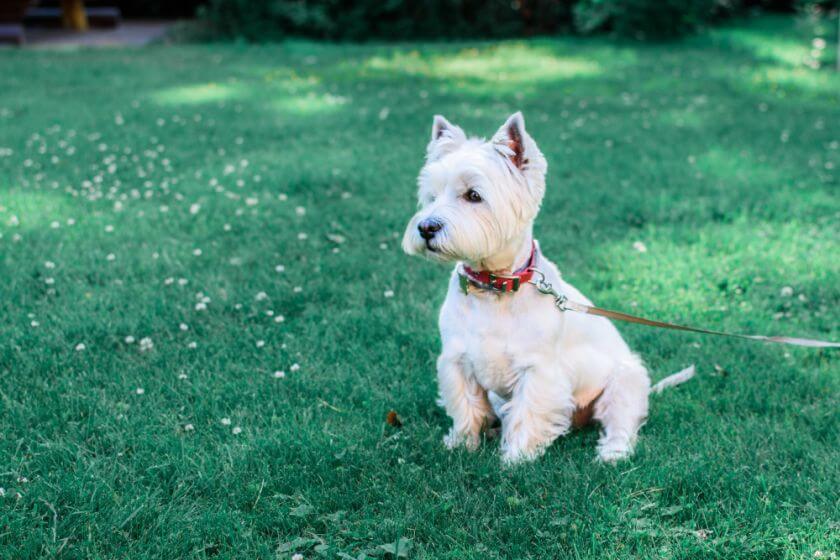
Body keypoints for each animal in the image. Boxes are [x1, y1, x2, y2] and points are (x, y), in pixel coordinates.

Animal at [404, 111, 652, 462]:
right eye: (432, 195)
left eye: (473, 195)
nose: (426, 227)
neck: (493, 287)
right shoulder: (457, 360)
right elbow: (466, 406)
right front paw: (462, 444)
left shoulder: (538, 370)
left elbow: (528, 412)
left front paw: (516, 459)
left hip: (625, 381)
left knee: (621, 422)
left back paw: (612, 453)